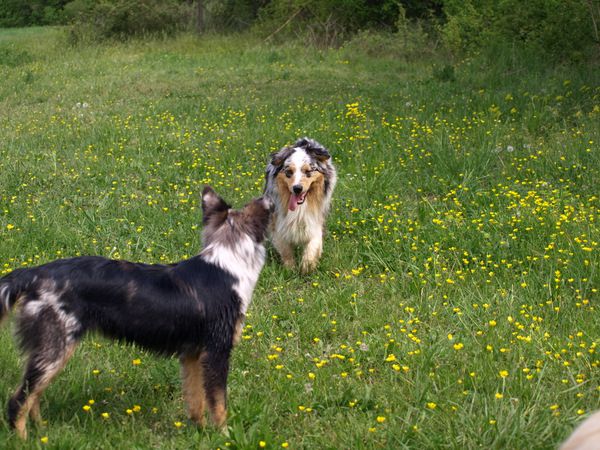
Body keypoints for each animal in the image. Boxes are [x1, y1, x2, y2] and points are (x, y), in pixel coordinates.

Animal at [0, 186, 272, 440]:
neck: (228, 264)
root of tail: (34, 274)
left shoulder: (193, 355)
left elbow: (196, 401)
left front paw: (200, 432)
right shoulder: (217, 351)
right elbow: (218, 403)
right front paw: (225, 437)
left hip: (48, 352)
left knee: (32, 397)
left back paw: (44, 433)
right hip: (55, 348)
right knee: (18, 401)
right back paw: (26, 440)